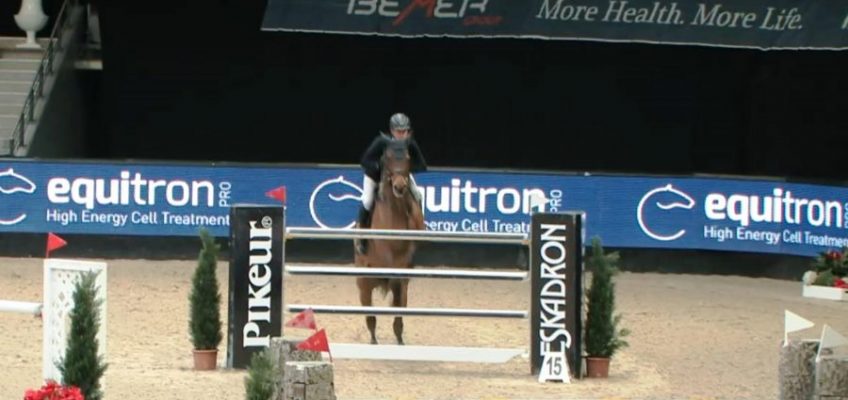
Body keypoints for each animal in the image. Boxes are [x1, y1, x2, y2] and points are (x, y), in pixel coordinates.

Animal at [356, 139, 428, 346]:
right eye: (386, 158)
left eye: (408, 157)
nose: (399, 186)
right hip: (364, 282)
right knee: (370, 316)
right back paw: (373, 340)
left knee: (398, 311)